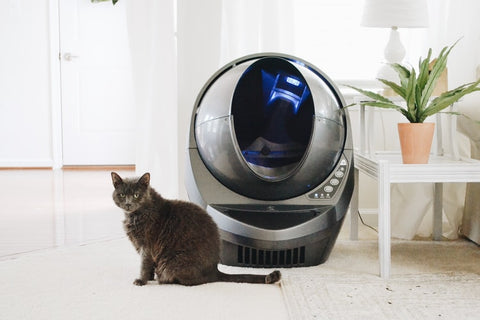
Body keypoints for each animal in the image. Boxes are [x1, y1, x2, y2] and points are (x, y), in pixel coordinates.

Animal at [111, 171, 282, 286]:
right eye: (121, 195)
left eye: (136, 195)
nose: (128, 203)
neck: (134, 215)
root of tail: (214, 270)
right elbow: (149, 265)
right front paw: (149, 278)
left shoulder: (146, 245)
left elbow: (144, 264)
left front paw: (142, 280)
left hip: (173, 262)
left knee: (192, 281)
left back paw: (163, 279)